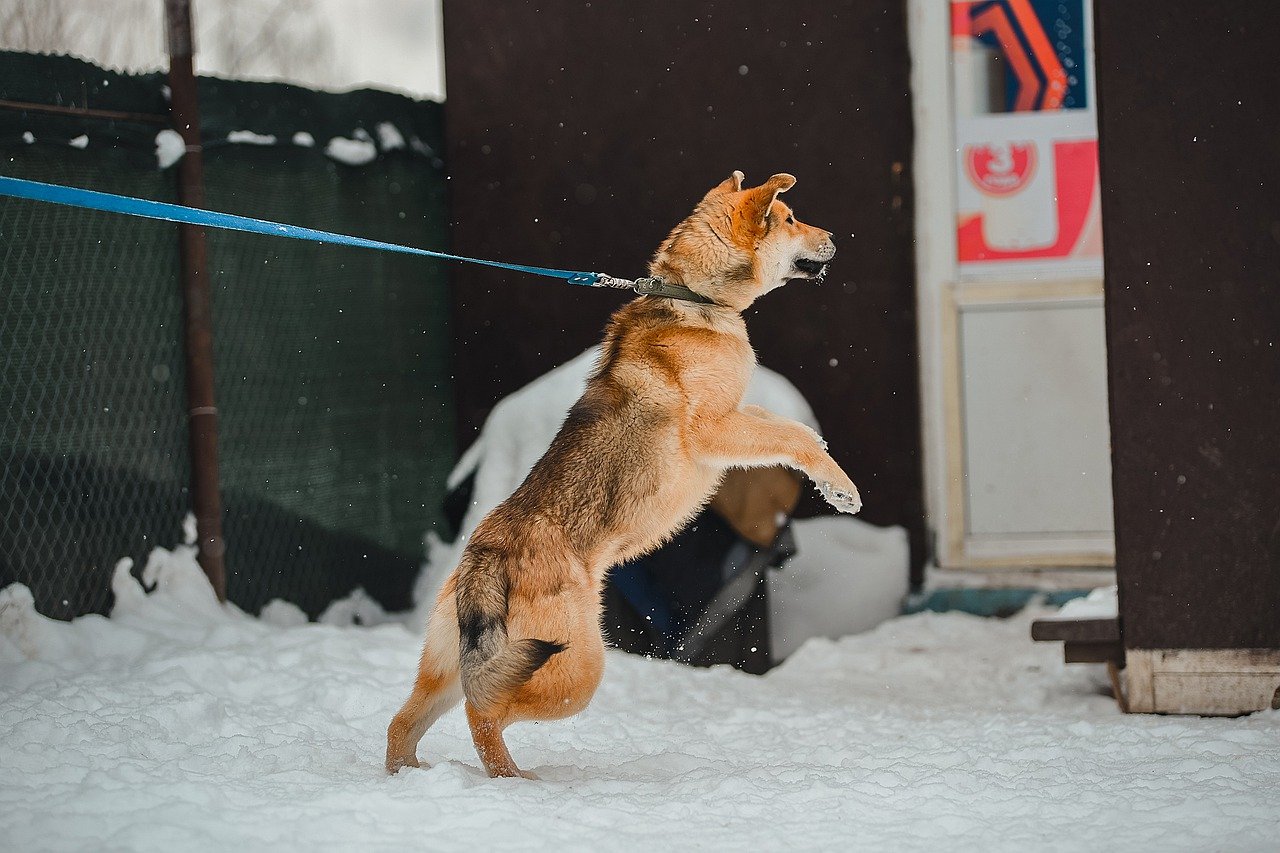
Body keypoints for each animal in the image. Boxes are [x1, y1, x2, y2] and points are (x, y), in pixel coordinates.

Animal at [378, 169, 860, 773]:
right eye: (791, 218)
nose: (836, 238)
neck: (691, 297)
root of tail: (483, 558)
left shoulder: (738, 416)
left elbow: (797, 433)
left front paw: (831, 481)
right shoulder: (713, 429)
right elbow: (793, 437)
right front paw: (843, 488)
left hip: (450, 661)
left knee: (405, 721)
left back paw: (413, 776)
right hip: (573, 665)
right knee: (483, 710)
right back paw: (517, 780)